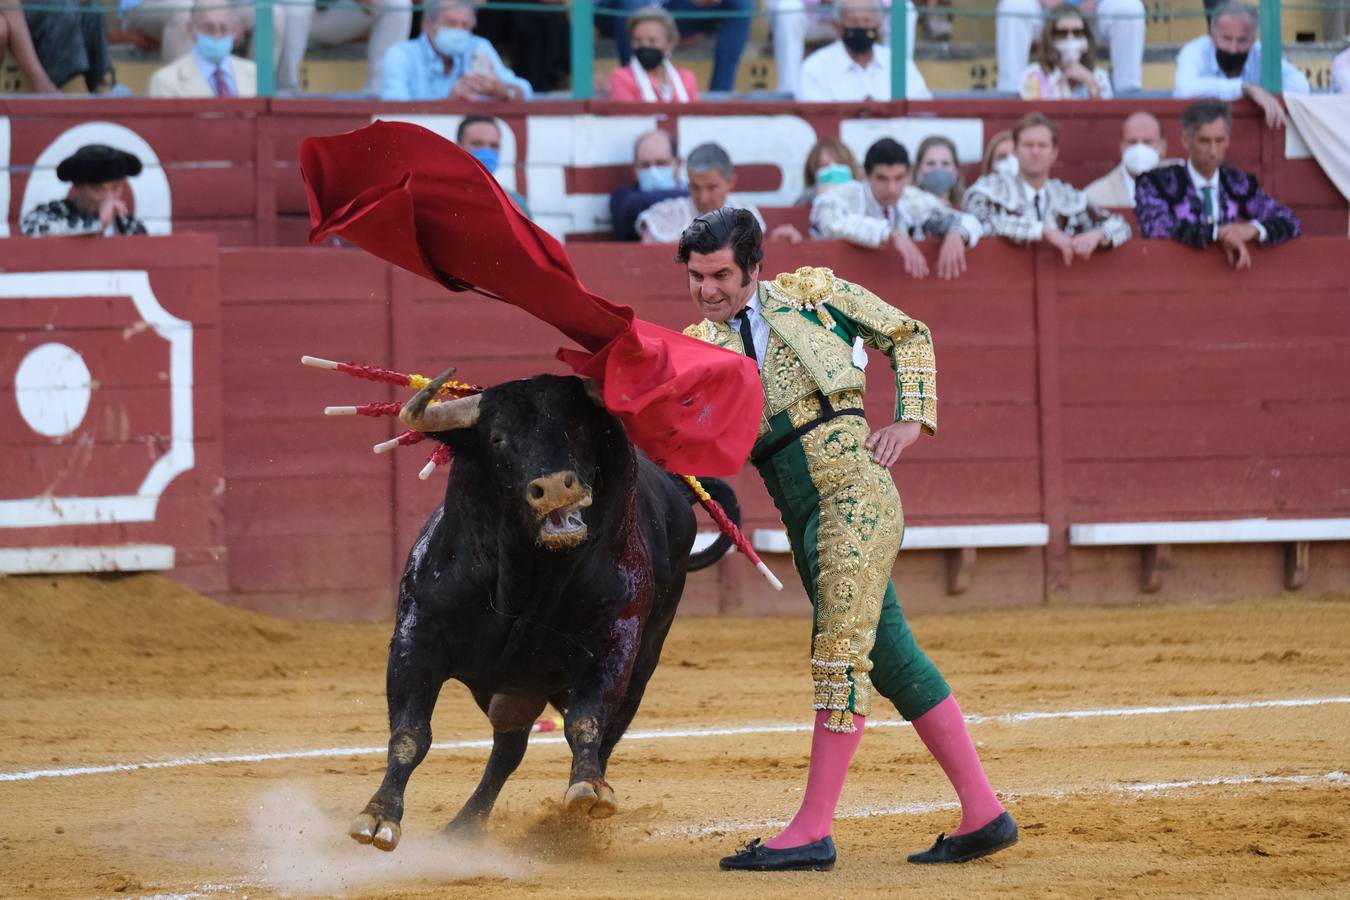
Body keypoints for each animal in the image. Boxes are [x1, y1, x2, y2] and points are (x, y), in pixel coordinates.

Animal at [351, 369, 739, 847]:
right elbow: (409, 733)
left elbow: (586, 722)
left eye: (578, 426)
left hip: (640, 666)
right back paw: (465, 827)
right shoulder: (416, 635)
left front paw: (588, 791)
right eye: (497, 439)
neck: (528, 579)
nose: (554, 487)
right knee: (509, 748)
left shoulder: (616, 640)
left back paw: (568, 824)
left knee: (599, 735)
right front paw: (379, 816)